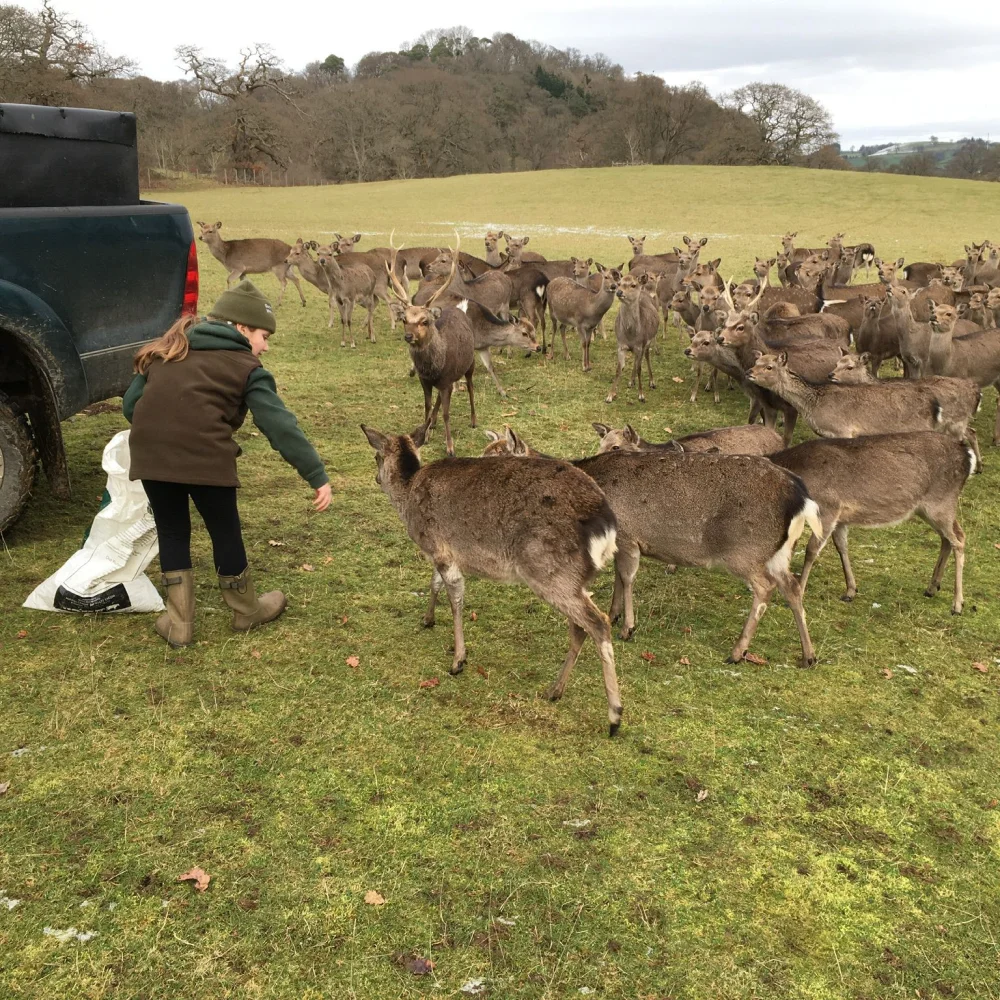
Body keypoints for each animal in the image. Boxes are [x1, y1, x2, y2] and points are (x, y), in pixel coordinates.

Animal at [360, 422, 624, 736]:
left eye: (376, 456)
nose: (376, 478)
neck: (409, 491)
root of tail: (606, 524)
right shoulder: (444, 550)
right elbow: (434, 583)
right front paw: (427, 619)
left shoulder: (439, 547)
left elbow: (455, 597)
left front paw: (458, 661)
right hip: (574, 579)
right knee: (581, 626)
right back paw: (554, 690)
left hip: (548, 571)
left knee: (598, 622)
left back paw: (614, 717)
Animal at [386, 240, 476, 452]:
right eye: (404, 319)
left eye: (424, 321)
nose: (408, 336)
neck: (433, 367)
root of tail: (460, 310)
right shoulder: (427, 381)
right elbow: (427, 407)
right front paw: (424, 435)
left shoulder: (447, 380)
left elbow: (447, 413)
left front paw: (450, 446)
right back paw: (433, 424)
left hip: (470, 364)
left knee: (470, 387)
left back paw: (473, 420)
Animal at [604, 272, 660, 404]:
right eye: (619, 283)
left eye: (633, 285)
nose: (619, 292)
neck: (631, 334)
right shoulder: (621, 345)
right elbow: (619, 369)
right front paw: (610, 395)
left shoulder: (641, 344)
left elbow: (640, 368)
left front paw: (641, 395)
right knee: (636, 359)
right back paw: (631, 381)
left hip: (648, 341)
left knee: (646, 356)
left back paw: (652, 382)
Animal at [768, 434, 972, 612]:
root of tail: (967, 457)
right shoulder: (841, 518)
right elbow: (841, 546)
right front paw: (850, 590)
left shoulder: (828, 508)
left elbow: (811, 550)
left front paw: (799, 592)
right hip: (929, 508)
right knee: (949, 537)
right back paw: (932, 587)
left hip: (941, 503)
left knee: (959, 539)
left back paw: (957, 604)